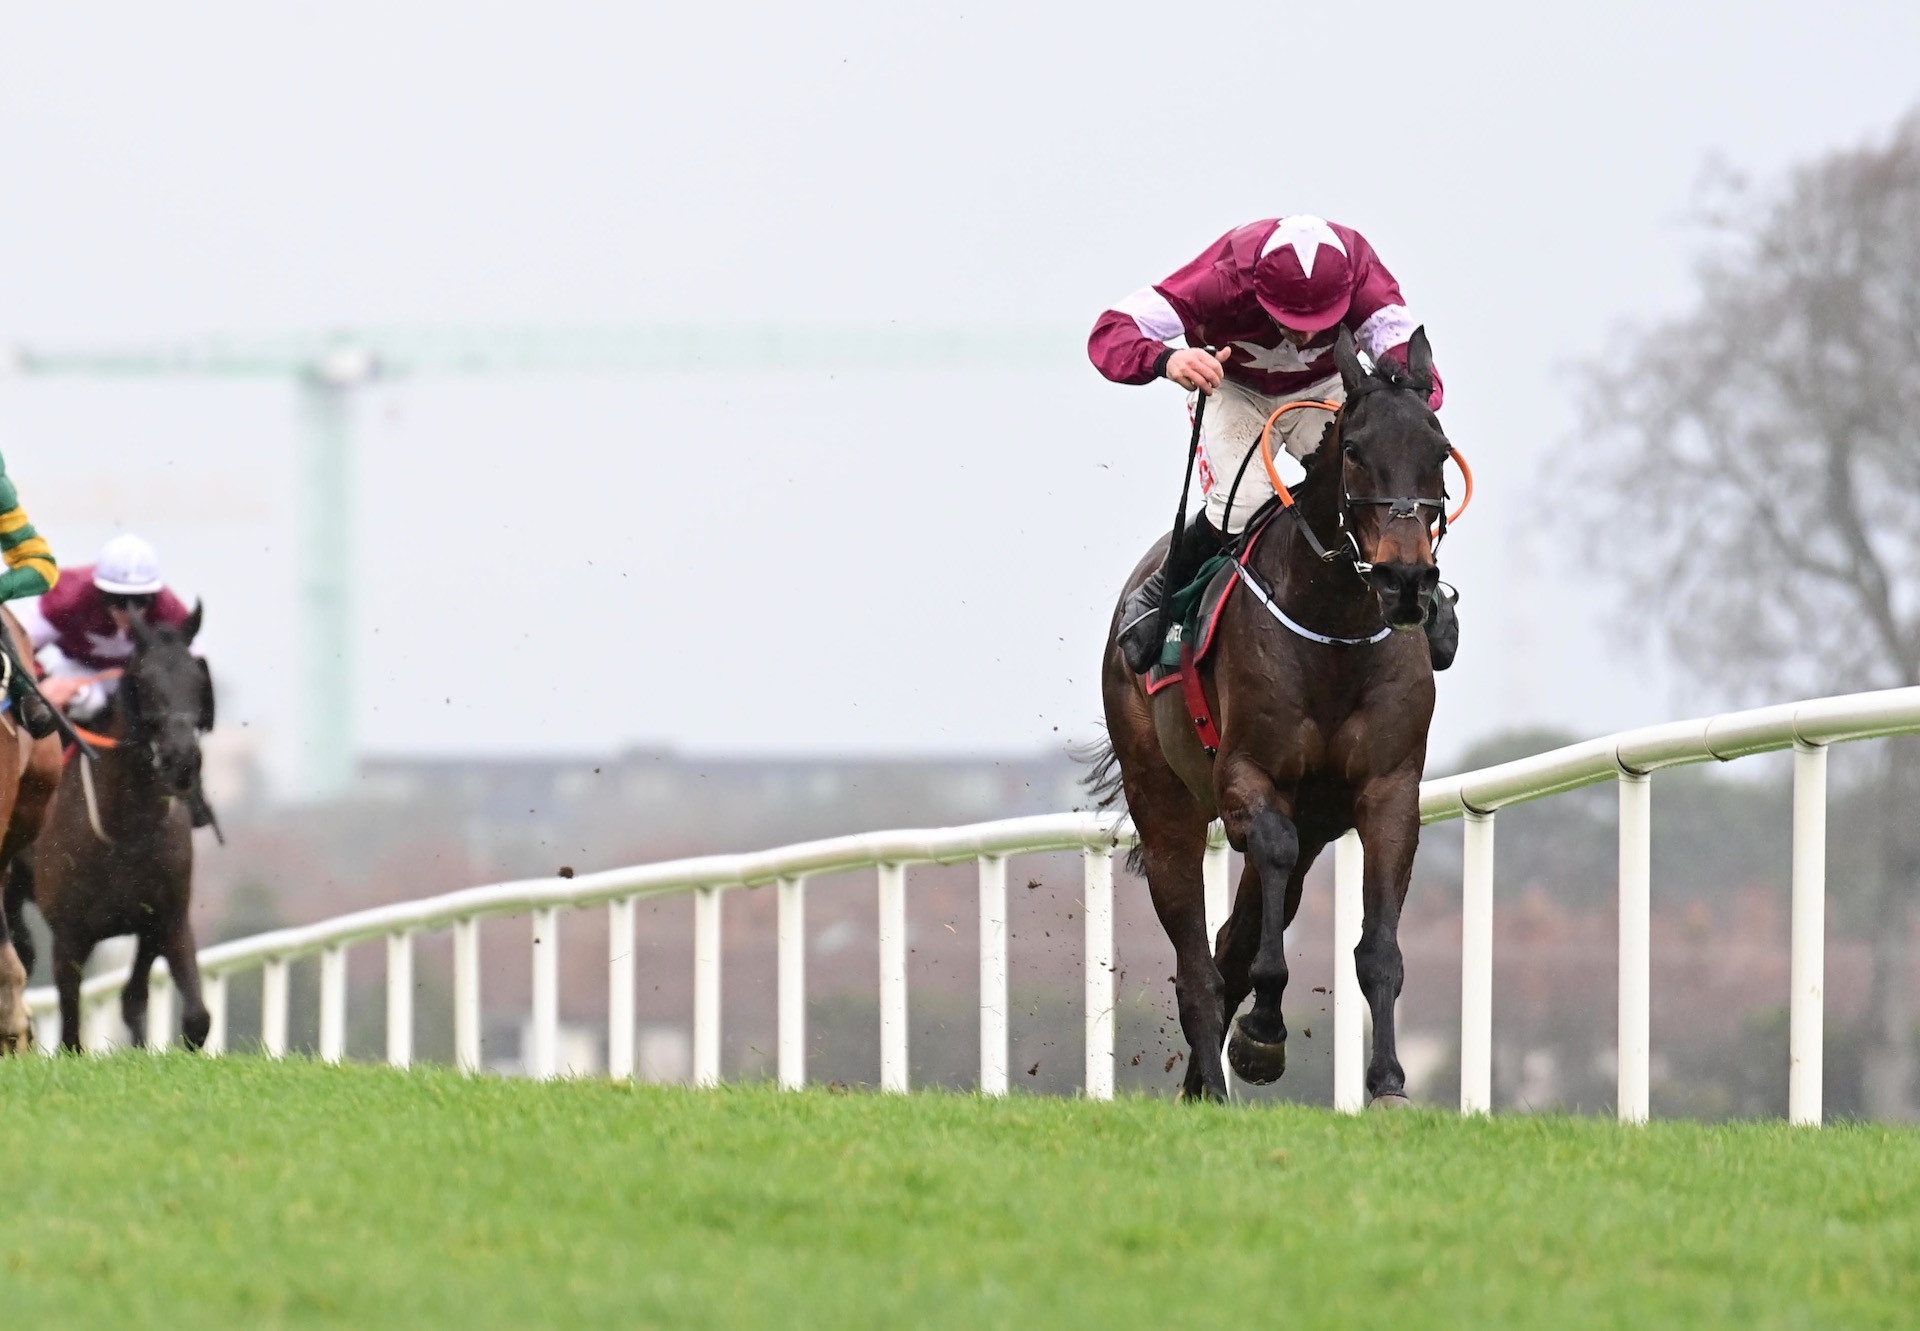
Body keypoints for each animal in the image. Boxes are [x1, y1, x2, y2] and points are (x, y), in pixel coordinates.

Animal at [4, 603, 216, 1052]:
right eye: (143, 680)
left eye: (197, 678)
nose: (181, 762)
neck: (126, 832)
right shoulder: (69, 936)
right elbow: (70, 1033)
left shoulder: (165, 919)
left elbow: (189, 1017)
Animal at [1090, 326, 1443, 1106]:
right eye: (1355, 450)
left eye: (1438, 449)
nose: (1406, 579)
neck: (1334, 628)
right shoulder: (1249, 778)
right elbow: (1265, 899)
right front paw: (1262, 1034)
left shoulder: (1388, 789)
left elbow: (1380, 946)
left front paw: (1388, 1082)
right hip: (1165, 805)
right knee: (1197, 959)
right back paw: (1215, 1082)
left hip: (1312, 821)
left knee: (1231, 939)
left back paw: (1203, 1082)